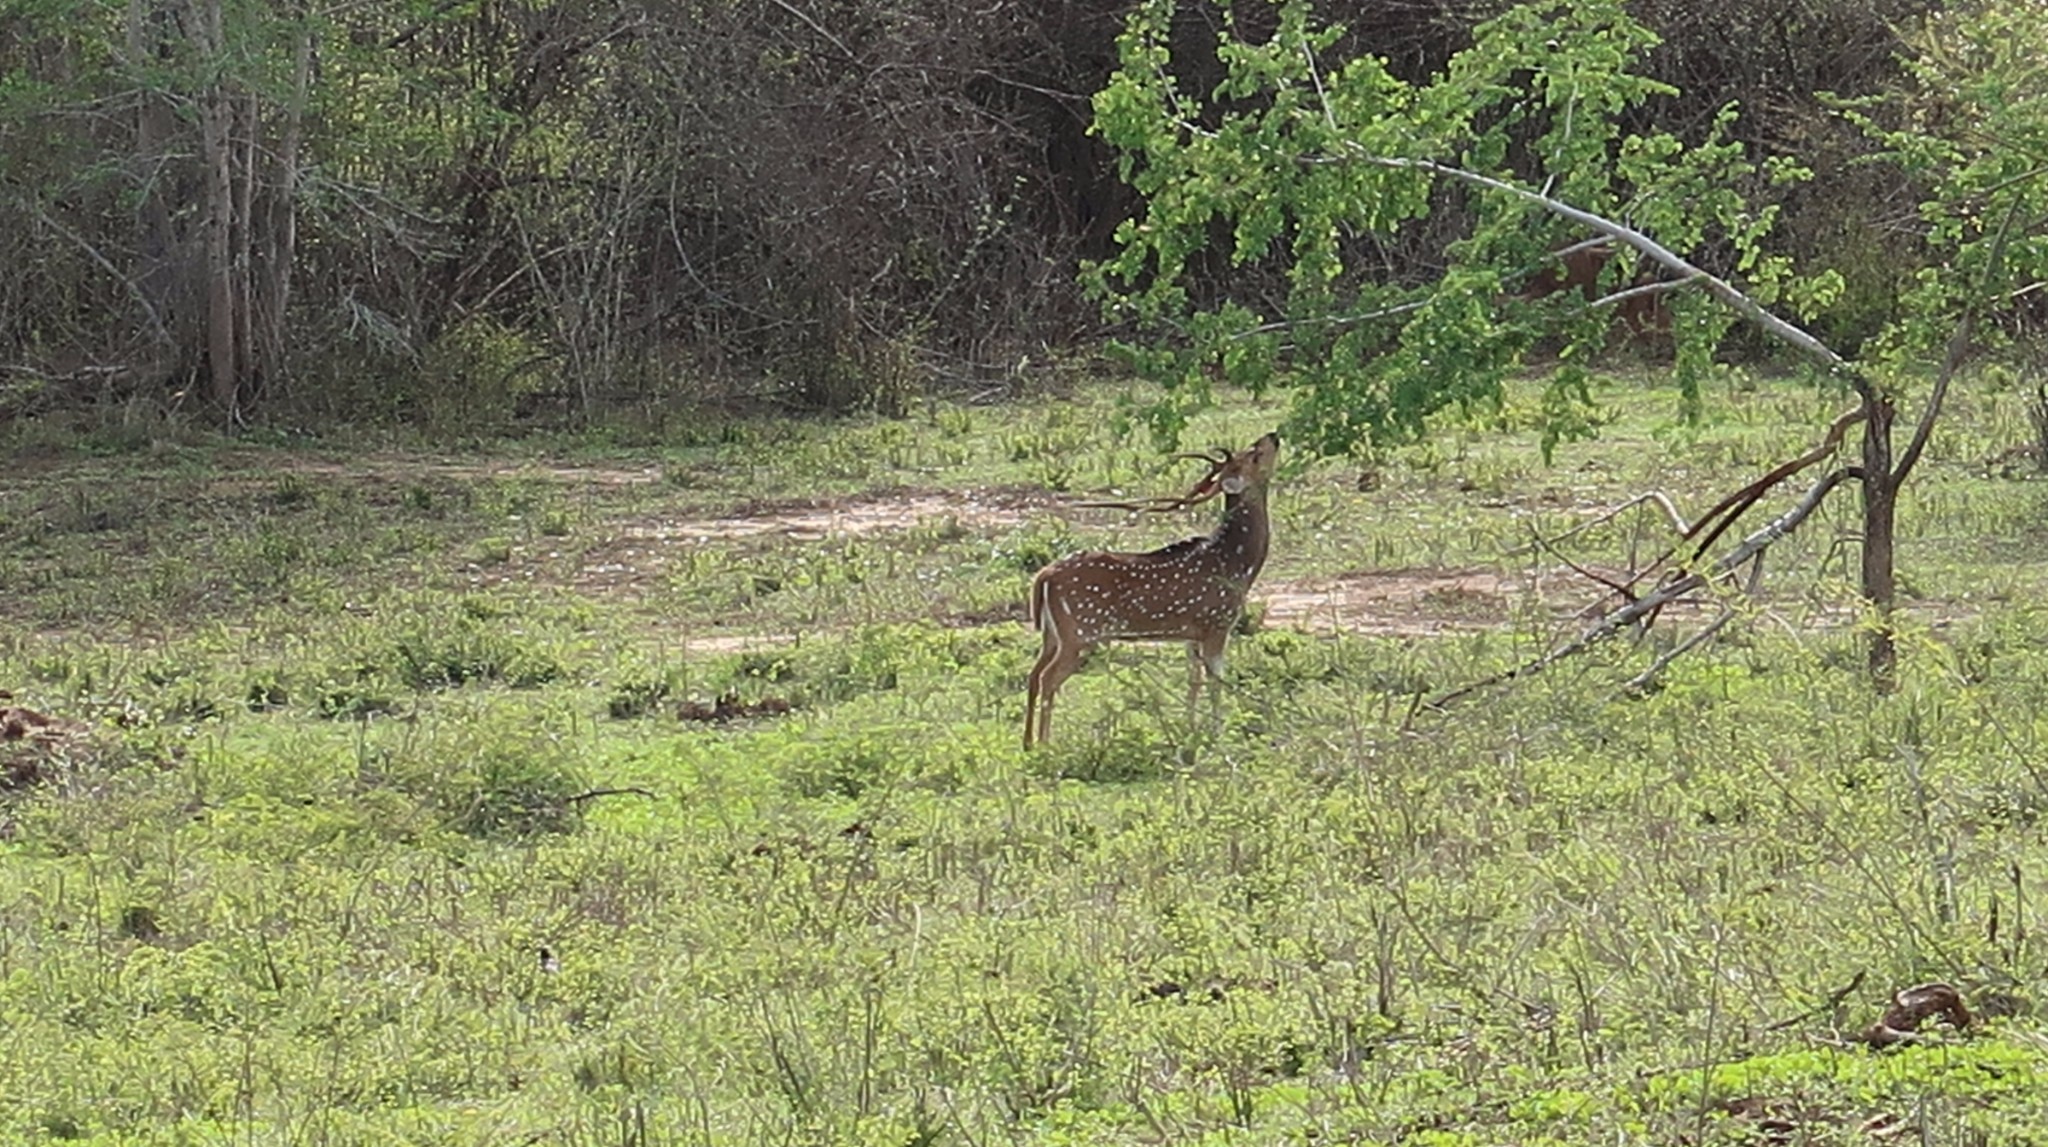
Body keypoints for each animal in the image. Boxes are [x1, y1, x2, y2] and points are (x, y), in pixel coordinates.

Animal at [1024, 434, 1277, 749]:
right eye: (1254, 455)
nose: (1273, 436)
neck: (1240, 567)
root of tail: (1043, 577)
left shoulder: (1192, 634)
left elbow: (1193, 680)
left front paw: (1191, 729)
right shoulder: (1218, 623)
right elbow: (1216, 681)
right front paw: (1218, 736)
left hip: (1052, 634)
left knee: (1033, 674)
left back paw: (1027, 742)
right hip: (1081, 633)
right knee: (1048, 678)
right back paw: (1044, 745)